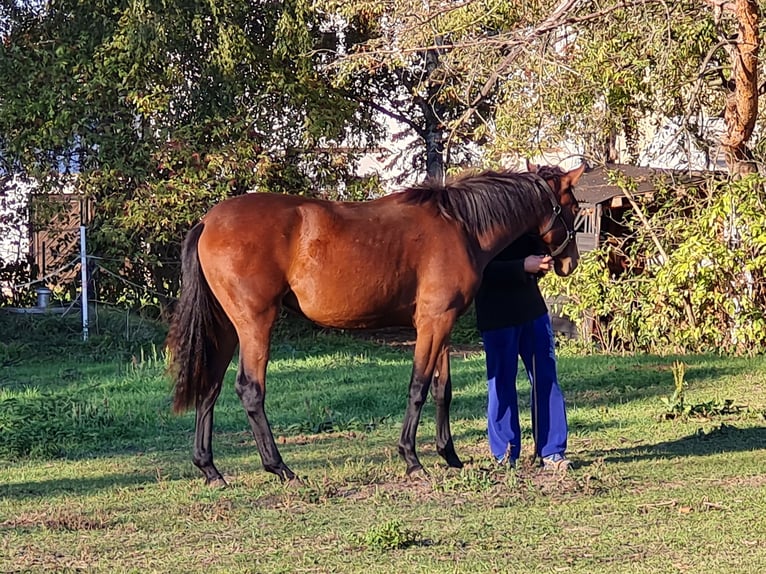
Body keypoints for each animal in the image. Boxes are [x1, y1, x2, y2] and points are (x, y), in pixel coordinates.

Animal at [168, 163, 584, 486]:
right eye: (574, 207)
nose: (569, 264)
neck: (461, 226)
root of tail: (206, 221)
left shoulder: (442, 323)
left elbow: (442, 390)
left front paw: (449, 456)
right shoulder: (432, 324)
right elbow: (418, 387)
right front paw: (412, 460)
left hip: (225, 327)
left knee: (210, 387)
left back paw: (210, 470)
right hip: (255, 324)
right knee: (250, 390)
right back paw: (280, 468)